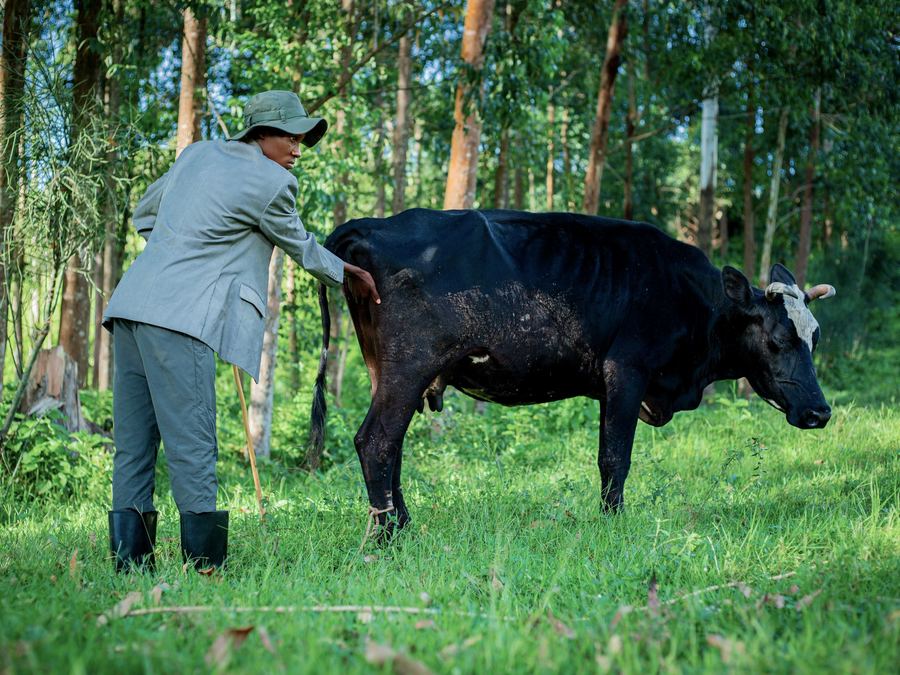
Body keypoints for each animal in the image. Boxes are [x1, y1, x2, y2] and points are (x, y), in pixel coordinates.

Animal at [309, 209, 835, 534]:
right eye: (777, 340)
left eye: (815, 337)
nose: (820, 412)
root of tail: (371, 226)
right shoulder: (627, 371)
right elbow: (615, 459)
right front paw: (613, 523)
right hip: (411, 365)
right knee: (377, 440)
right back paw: (387, 536)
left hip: (386, 368)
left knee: (391, 445)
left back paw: (402, 525)